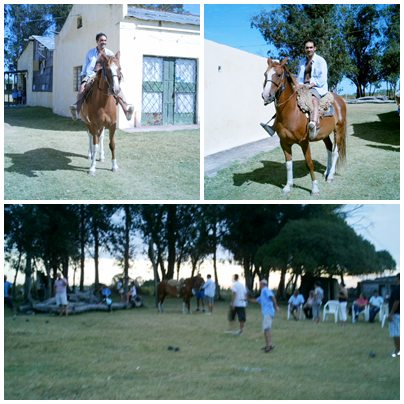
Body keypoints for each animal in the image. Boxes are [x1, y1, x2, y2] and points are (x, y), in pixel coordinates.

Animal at [262, 57, 348, 195]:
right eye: (265, 74)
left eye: (279, 74)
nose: (266, 96)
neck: (292, 112)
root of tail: (340, 100)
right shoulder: (284, 143)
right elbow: (288, 164)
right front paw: (288, 186)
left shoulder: (304, 142)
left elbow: (309, 163)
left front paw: (315, 188)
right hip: (325, 134)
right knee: (329, 148)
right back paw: (327, 171)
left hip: (339, 129)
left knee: (335, 152)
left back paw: (330, 176)